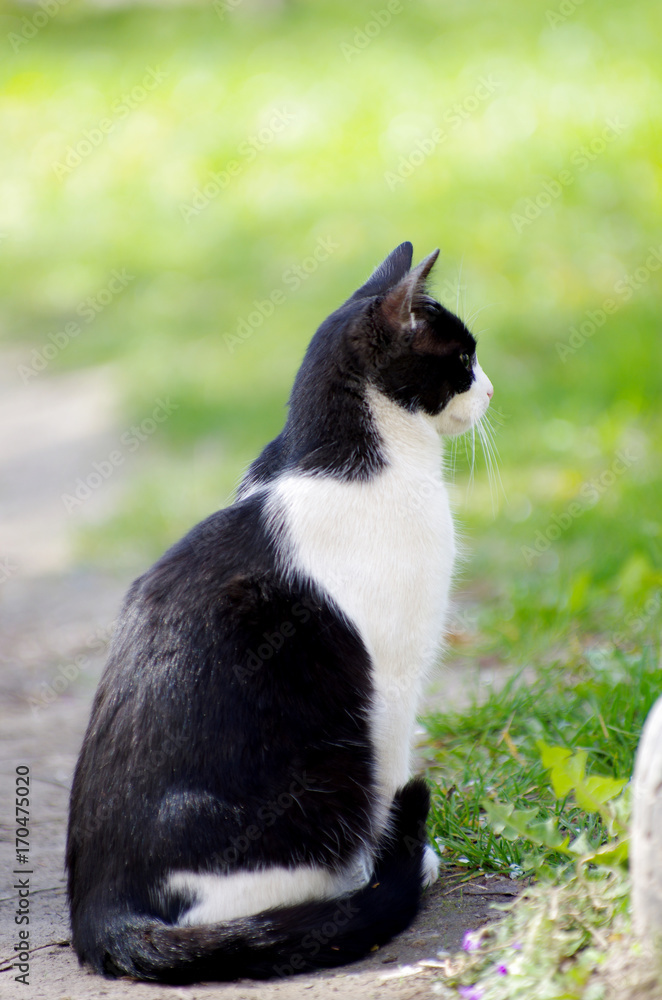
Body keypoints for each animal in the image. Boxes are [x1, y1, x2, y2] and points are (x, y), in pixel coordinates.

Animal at [67, 244, 492, 984]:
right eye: (463, 359)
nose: (492, 390)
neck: (341, 463)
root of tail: (100, 909)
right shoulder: (391, 684)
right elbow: (390, 779)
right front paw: (392, 862)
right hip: (312, 777)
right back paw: (347, 891)